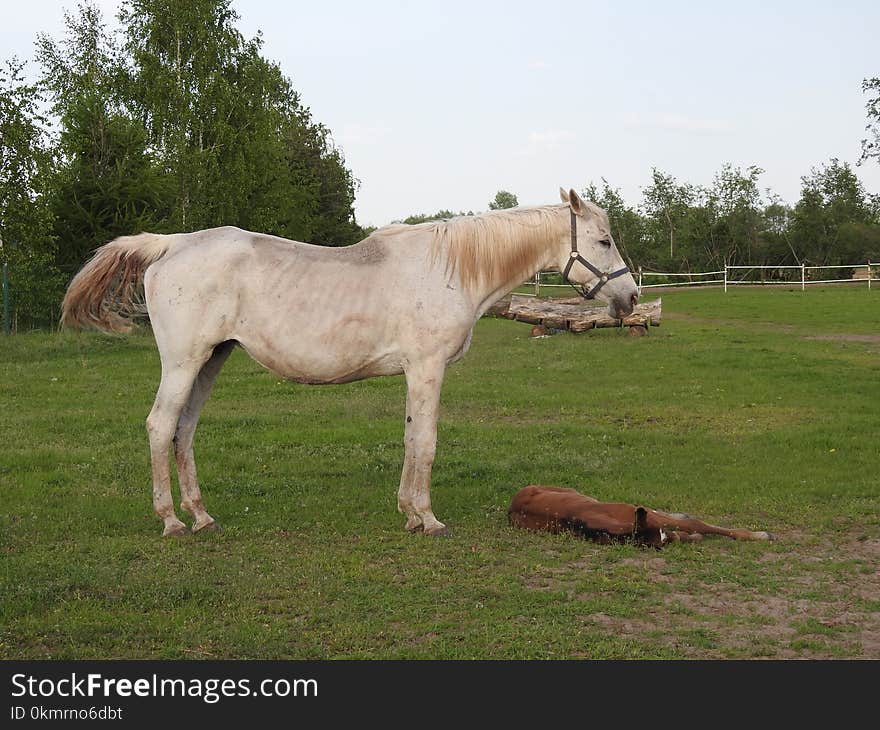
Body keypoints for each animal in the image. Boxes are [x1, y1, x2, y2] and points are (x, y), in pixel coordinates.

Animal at [63, 188, 640, 536]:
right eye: (604, 239)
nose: (630, 297)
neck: (450, 268)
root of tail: (171, 245)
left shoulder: (414, 372)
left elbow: (409, 437)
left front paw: (408, 513)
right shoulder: (427, 368)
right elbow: (426, 441)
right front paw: (428, 518)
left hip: (210, 360)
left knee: (184, 429)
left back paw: (202, 516)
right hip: (184, 362)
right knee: (161, 426)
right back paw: (171, 522)